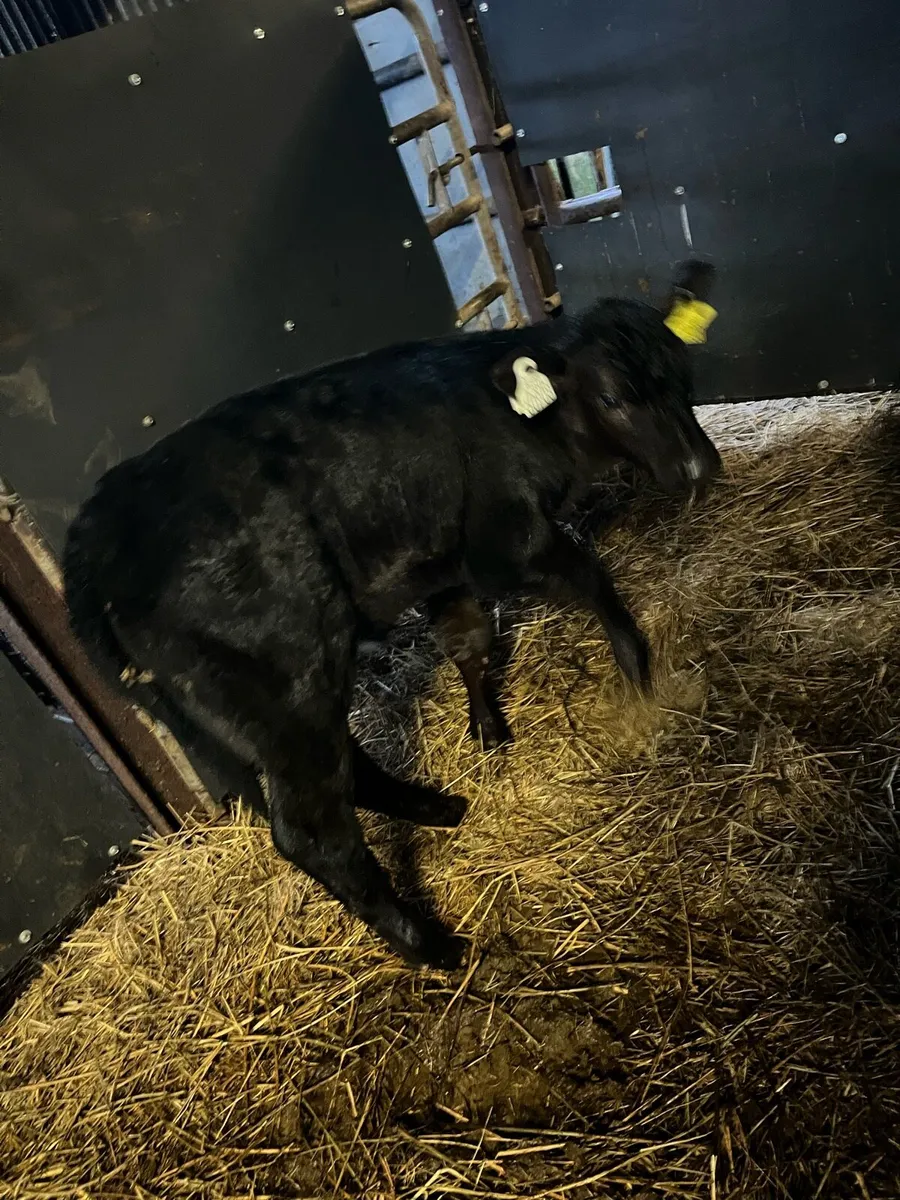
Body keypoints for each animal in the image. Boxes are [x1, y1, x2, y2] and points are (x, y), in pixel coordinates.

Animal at [63, 259, 721, 970]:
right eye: (614, 398)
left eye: (683, 375)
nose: (700, 466)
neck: (517, 419)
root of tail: (95, 530)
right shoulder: (507, 544)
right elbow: (593, 581)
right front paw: (637, 673)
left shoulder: (443, 560)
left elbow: (467, 642)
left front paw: (488, 731)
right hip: (286, 680)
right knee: (313, 829)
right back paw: (431, 944)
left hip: (223, 708)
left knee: (346, 773)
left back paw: (436, 806)